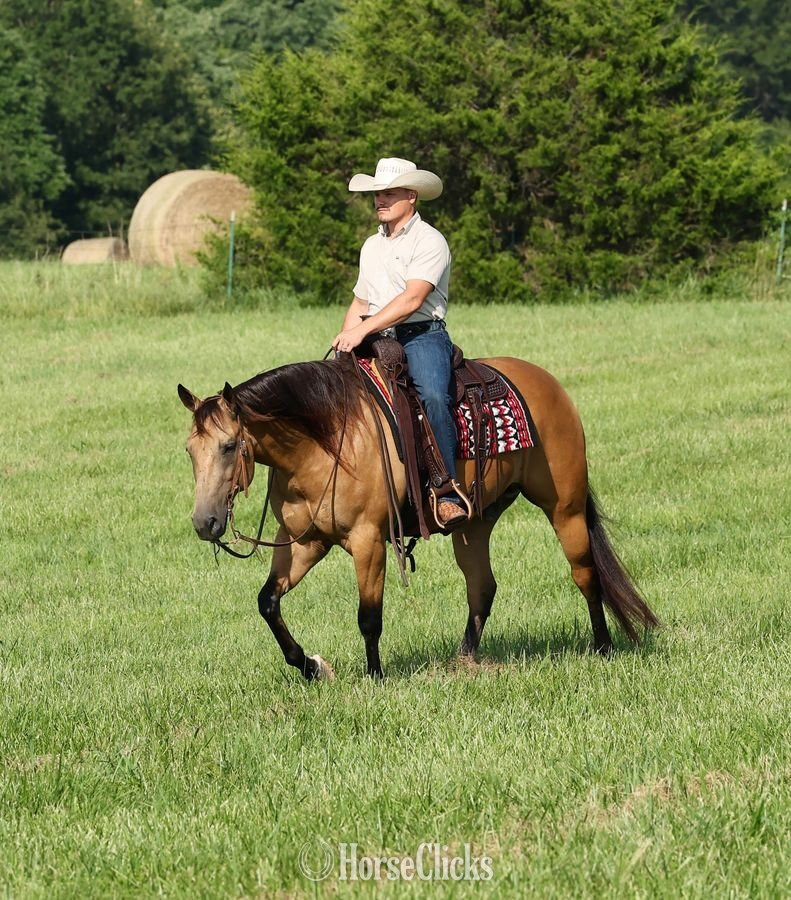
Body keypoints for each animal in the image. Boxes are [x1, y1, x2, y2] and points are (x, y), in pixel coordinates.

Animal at [178, 354, 659, 680]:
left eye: (228, 446)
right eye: (189, 451)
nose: (205, 524)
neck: (324, 442)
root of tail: (548, 383)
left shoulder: (368, 541)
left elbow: (369, 616)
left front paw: (375, 677)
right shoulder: (304, 542)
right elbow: (268, 602)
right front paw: (312, 666)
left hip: (565, 507)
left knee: (585, 573)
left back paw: (602, 647)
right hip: (475, 523)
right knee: (482, 587)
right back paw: (463, 659)